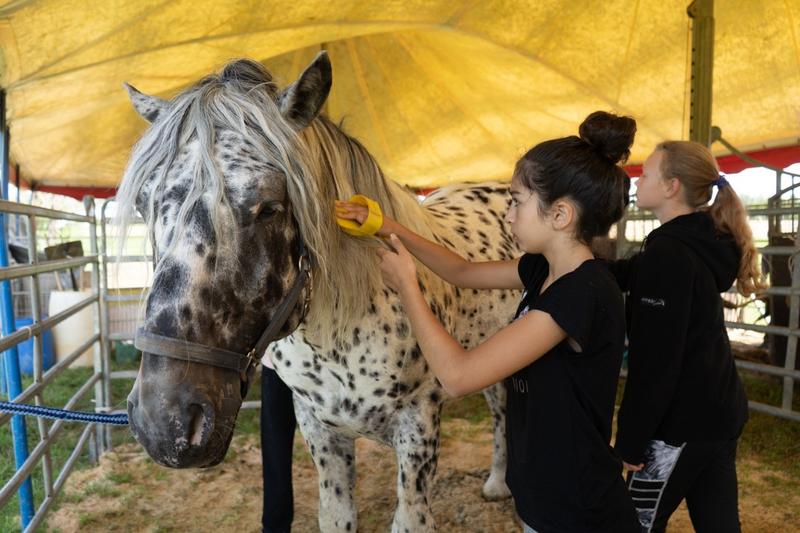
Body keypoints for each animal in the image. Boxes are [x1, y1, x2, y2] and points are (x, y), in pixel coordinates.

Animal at [119, 52, 520, 528]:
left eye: (269, 207)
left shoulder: (418, 427)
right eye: (143, 204)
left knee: (502, 411)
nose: (165, 424)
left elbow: (410, 518)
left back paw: (499, 484)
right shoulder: (319, 428)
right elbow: (336, 515)